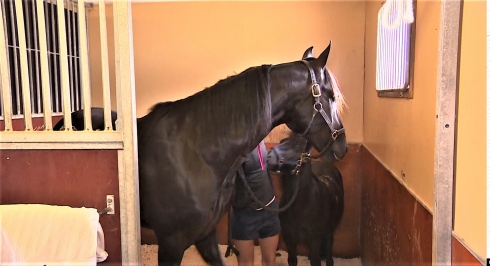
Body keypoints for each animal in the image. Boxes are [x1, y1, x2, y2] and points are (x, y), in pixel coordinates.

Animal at [266, 133, 342, 266]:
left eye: (297, 147)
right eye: (281, 142)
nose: (269, 158)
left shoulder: (314, 238)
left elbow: (316, 261)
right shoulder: (289, 238)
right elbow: (292, 260)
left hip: (329, 230)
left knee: (329, 250)